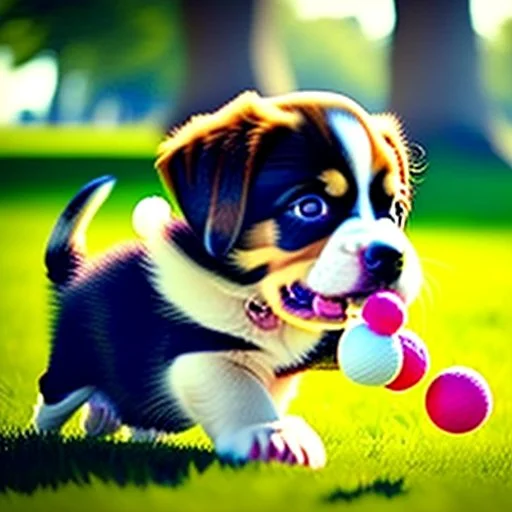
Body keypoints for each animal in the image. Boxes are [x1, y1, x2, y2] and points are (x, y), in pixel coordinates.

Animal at [32, 91, 424, 468]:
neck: (252, 294)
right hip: (70, 364)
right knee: (53, 399)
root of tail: (78, 276)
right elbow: (238, 388)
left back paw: (108, 418)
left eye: (394, 209)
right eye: (310, 207)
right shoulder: (197, 345)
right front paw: (271, 434)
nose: (391, 258)